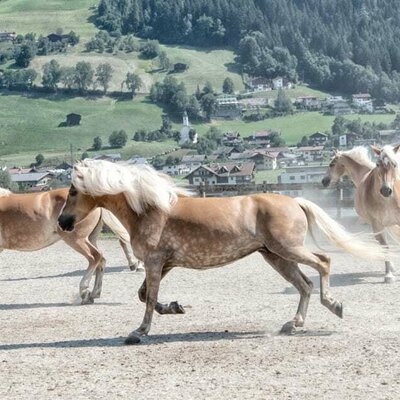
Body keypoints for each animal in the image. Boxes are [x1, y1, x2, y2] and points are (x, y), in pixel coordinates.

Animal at [0, 188, 144, 304]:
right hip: (90, 238)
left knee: (95, 256)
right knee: (101, 260)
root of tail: (97, 204)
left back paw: (85, 292)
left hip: (76, 239)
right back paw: (94, 293)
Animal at [57, 159, 392, 344]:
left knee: (323, 263)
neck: (149, 209)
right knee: (305, 284)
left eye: (73, 191)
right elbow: (144, 295)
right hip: (275, 256)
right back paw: (292, 324)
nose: (63, 222)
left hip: (288, 249)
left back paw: (334, 305)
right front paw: (175, 307)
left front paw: (139, 331)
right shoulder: (164, 264)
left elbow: (149, 298)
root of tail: (295, 201)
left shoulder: (154, 262)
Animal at [322, 147, 400, 284]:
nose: (324, 181)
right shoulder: (378, 225)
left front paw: (389, 274)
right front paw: (390, 272)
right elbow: (385, 247)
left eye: (331, 164)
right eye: (378, 164)